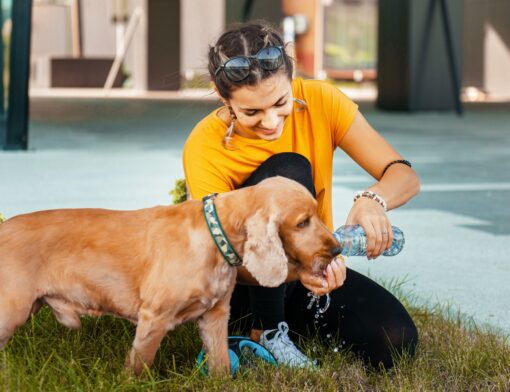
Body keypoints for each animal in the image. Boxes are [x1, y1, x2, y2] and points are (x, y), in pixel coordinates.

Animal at [0, 177, 342, 374]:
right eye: (302, 222)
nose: (338, 249)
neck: (215, 236)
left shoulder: (215, 317)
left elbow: (221, 365)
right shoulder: (155, 317)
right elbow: (138, 367)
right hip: (10, 311)